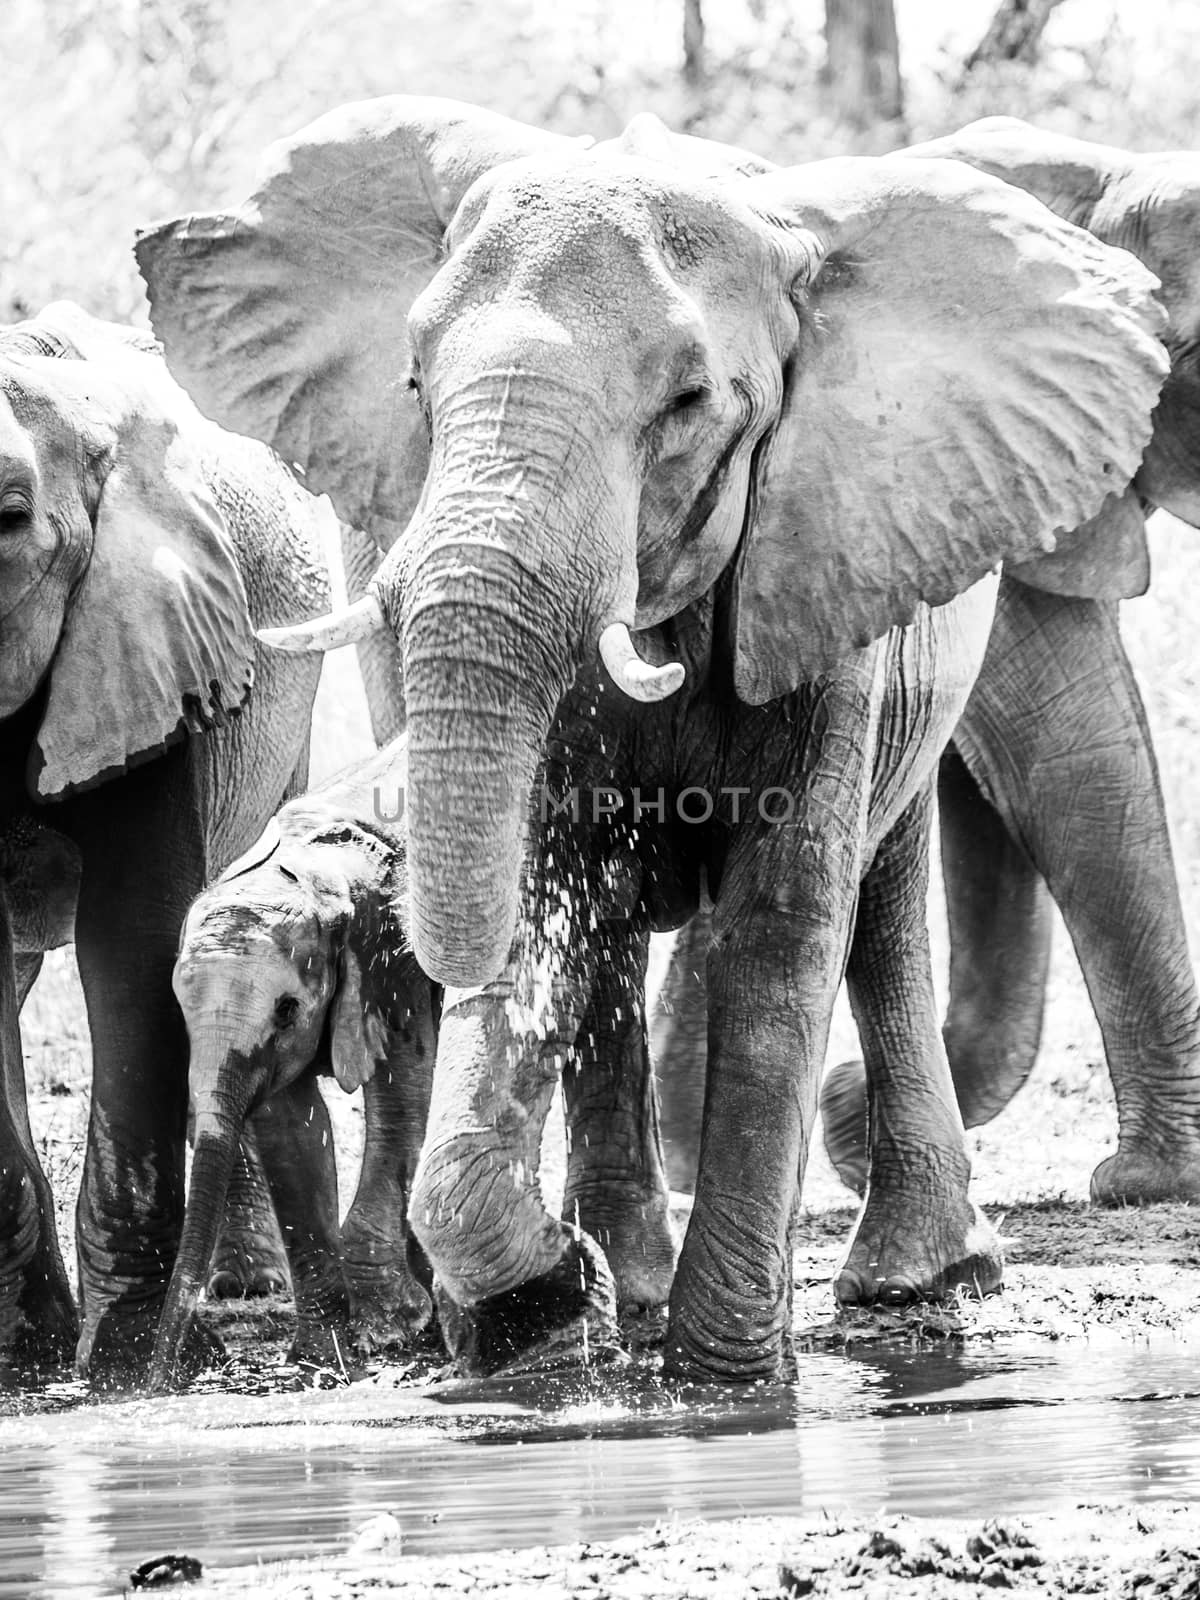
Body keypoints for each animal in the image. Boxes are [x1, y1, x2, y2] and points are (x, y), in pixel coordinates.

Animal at [0, 305, 334, 1382]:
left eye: (8, 519)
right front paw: (30, 1350)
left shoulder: (148, 633)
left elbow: (132, 937)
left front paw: (127, 1359)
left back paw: (241, 1289)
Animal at [146, 742, 438, 1395]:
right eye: (179, 1008)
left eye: (286, 1010)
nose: (151, 1387)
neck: (310, 873)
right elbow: (291, 1130)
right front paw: (320, 1363)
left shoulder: (391, 956)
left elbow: (402, 1091)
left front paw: (394, 1327)